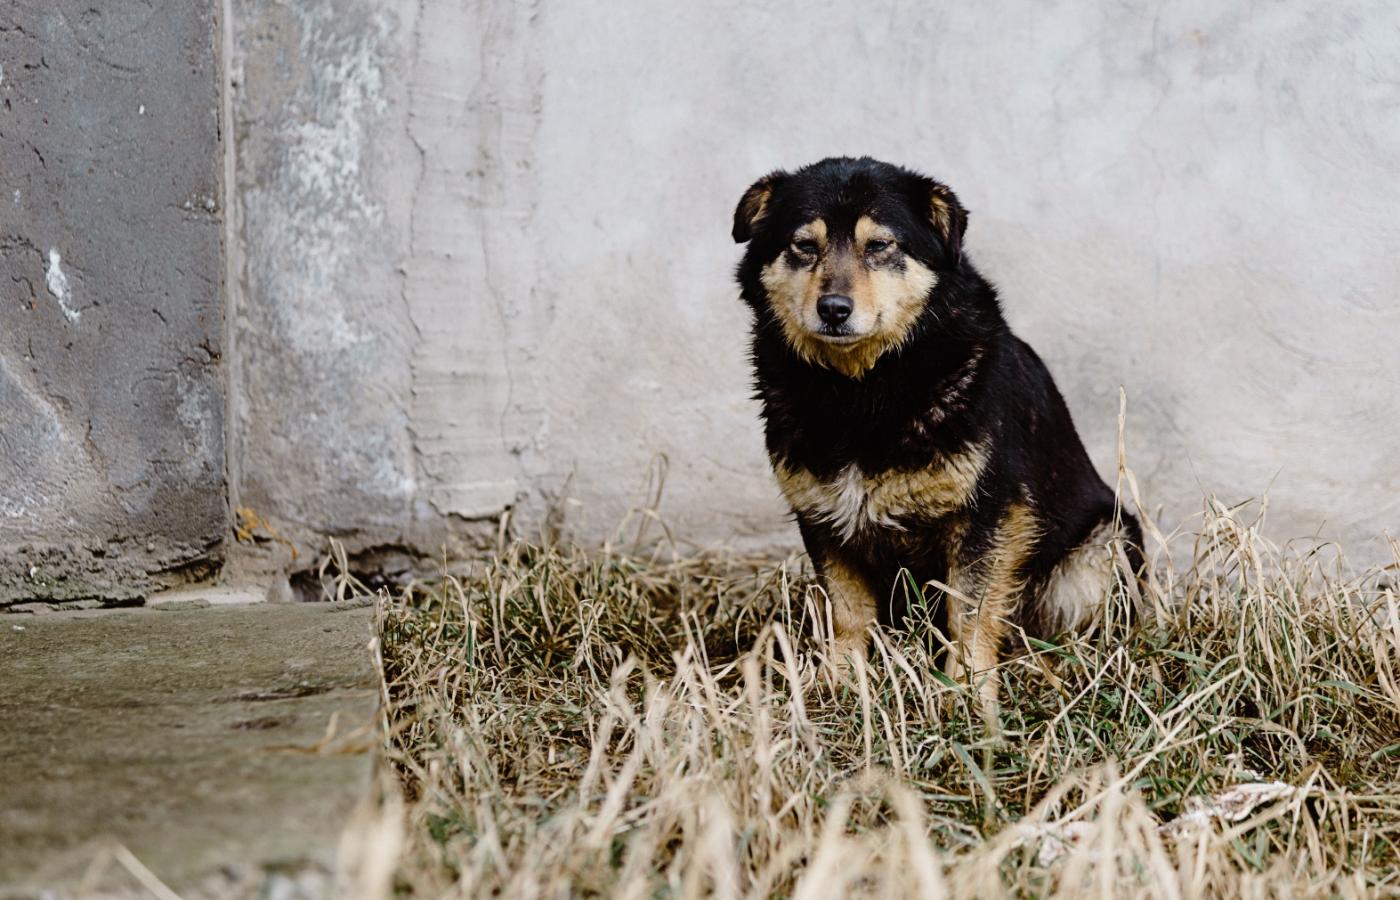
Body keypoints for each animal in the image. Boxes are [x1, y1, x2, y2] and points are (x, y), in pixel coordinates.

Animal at [732, 156, 1142, 715]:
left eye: (880, 246)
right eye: (803, 245)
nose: (833, 308)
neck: (860, 391)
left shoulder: (990, 514)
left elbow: (968, 613)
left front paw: (966, 694)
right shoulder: (821, 515)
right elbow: (847, 612)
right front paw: (841, 684)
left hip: (1104, 547)